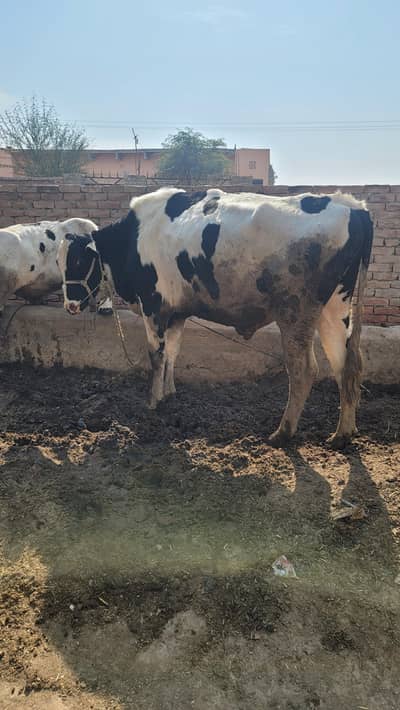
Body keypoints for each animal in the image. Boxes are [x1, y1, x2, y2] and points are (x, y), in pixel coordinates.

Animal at [57, 188, 373, 448]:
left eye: (78, 260)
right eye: (58, 261)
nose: (70, 305)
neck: (136, 236)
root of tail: (350, 205)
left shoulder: (154, 307)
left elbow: (156, 355)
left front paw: (152, 401)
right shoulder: (177, 313)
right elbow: (172, 352)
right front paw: (169, 393)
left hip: (296, 312)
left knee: (304, 370)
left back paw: (283, 432)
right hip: (334, 308)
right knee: (345, 365)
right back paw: (343, 433)